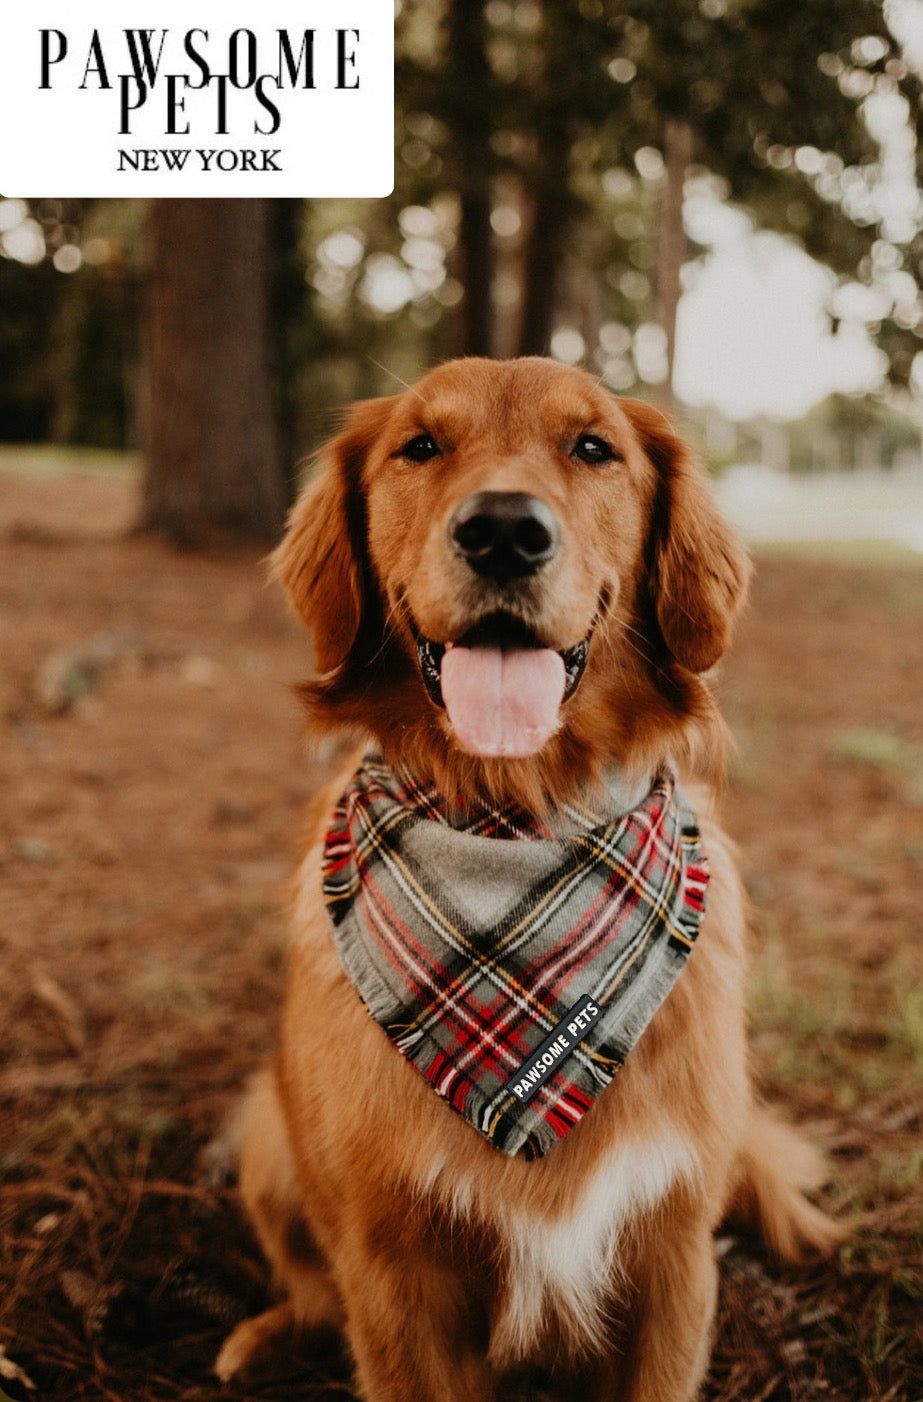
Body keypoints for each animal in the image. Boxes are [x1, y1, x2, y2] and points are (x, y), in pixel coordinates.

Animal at [217, 361, 841, 1402]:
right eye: (419, 446)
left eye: (593, 448)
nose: (504, 530)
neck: (517, 811)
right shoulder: (392, 1276)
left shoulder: (673, 1257)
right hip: (268, 1130)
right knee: (304, 1288)